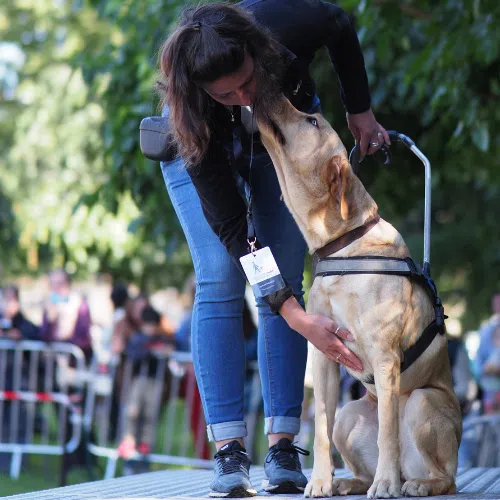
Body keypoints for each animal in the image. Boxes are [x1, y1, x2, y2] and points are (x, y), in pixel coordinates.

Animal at [256, 98, 462, 500]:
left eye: (312, 120)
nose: (265, 95)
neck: (344, 245)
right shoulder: (323, 353)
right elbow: (320, 428)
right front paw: (320, 480)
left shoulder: (384, 357)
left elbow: (387, 433)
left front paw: (386, 484)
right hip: (349, 413)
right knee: (354, 450)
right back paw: (348, 481)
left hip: (422, 401)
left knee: (445, 476)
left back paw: (411, 482)